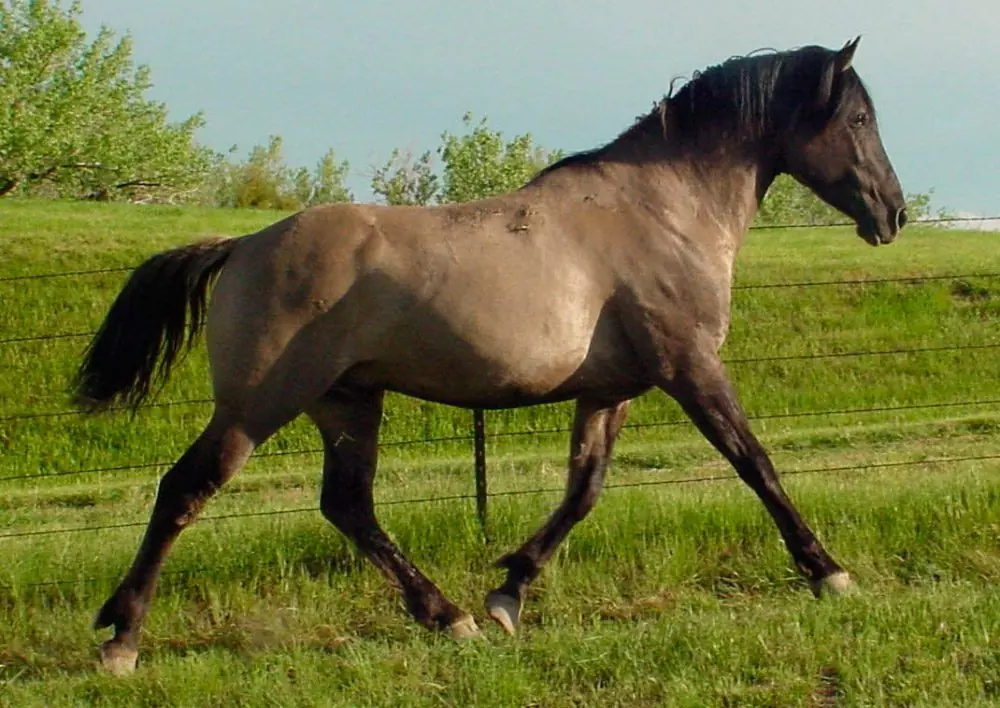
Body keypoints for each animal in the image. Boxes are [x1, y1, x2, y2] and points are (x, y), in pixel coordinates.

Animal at [73, 38, 907, 675]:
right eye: (860, 117)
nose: (893, 213)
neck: (664, 209)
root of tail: (242, 244)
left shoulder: (611, 391)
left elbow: (583, 491)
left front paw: (508, 593)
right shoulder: (689, 367)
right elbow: (755, 463)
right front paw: (829, 573)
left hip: (347, 401)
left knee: (348, 505)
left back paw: (447, 617)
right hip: (258, 404)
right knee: (185, 490)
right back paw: (122, 640)